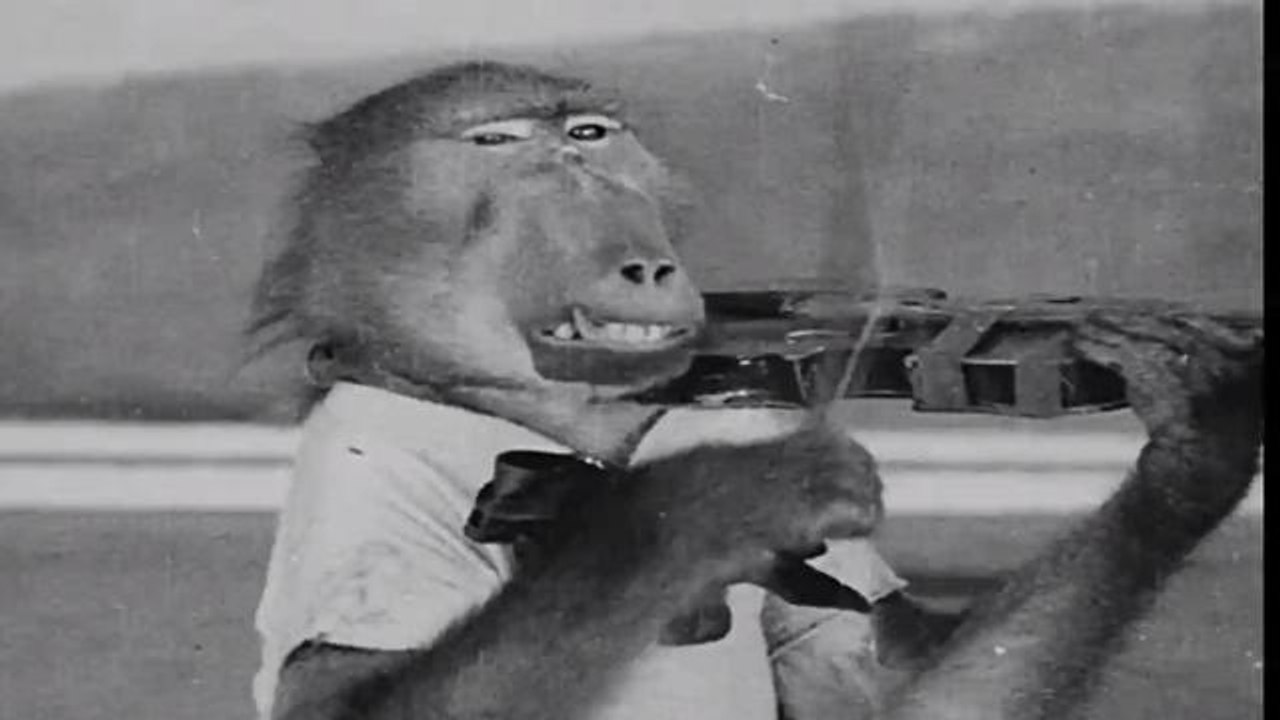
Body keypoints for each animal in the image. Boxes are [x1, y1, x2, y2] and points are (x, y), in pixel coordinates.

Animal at [246, 60, 1264, 720]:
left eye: (589, 138)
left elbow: (917, 702)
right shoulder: (355, 487)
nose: (647, 263)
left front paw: (1197, 444)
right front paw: (700, 503)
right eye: (498, 145)